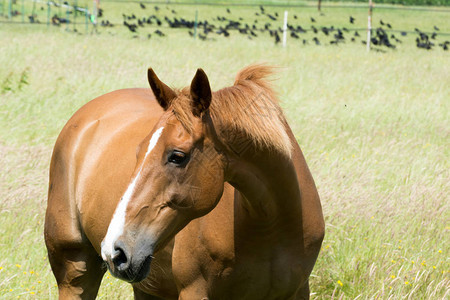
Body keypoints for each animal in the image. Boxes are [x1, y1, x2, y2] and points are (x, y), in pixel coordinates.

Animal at [44, 64, 324, 298]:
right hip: (75, 272)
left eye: (177, 156)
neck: (270, 226)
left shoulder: (298, 292)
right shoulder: (194, 291)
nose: (115, 250)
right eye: (139, 151)